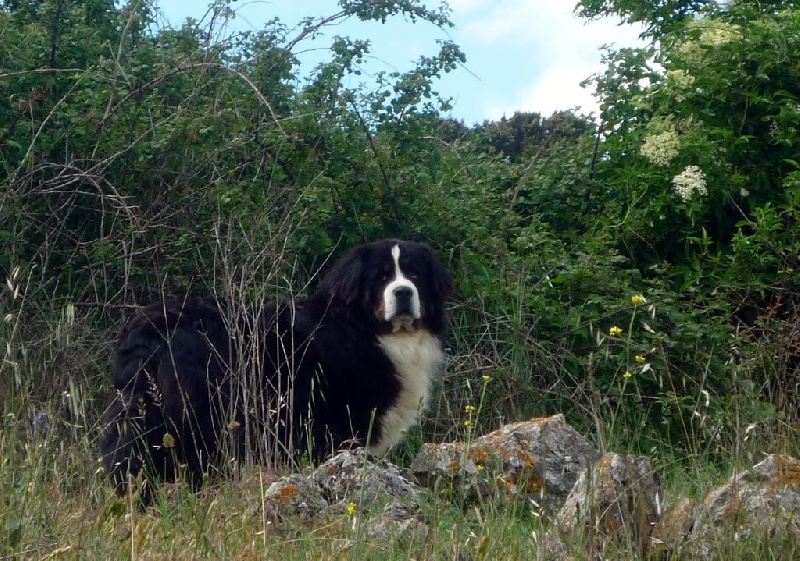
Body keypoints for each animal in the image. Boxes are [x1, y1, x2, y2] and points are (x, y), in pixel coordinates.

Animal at [100, 239, 452, 502]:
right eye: (381, 277)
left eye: (414, 275)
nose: (403, 292)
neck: (369, 330)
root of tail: (148, 325)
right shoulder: (331, 423)